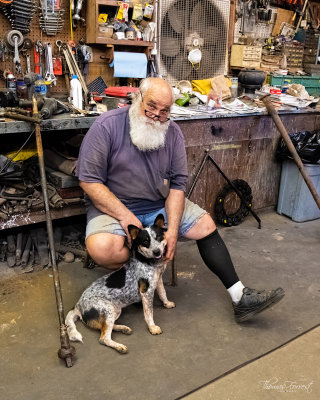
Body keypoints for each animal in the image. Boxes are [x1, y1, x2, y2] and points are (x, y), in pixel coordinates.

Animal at [65, 214, 175, 354]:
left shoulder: (158, 280)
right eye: (145, 241)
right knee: (103, 338)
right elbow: (149, 313)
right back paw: (119, 346)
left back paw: (123, 328)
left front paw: (167, 303)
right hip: (107, 310)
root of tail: (78, 306)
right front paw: (152, 328)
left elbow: (162, 293)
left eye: (159, 237)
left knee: (106, 328)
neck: (147, 261)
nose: (157, 252)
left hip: (114, 311)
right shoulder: (146, 292)